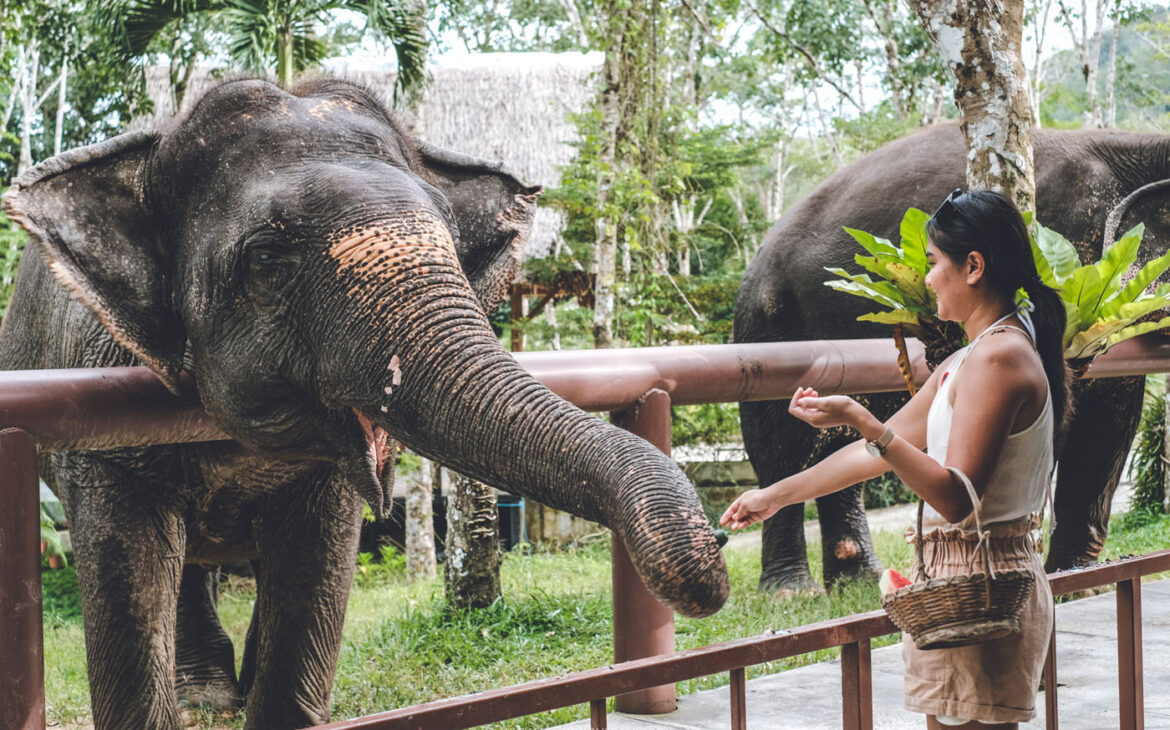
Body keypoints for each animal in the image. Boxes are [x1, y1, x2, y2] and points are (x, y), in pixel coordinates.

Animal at [2, 78, 730, 730]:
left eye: (452, 244)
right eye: (266, 257)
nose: (718, 548)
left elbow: (315, 570)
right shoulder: (101, 429)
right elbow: (129, 574)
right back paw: (205, 702)